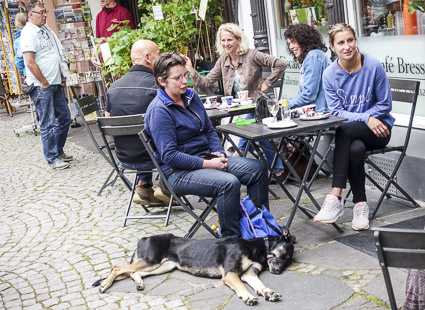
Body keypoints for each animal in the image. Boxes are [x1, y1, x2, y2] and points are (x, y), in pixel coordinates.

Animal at [93, 229, 294, 306]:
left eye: (288, 261)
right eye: (284, 255)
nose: (278, 272)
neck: (257, 248)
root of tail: (144, 238)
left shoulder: (248, 274)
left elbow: (261, 286)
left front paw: (269, 293)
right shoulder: (231, 274)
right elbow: (243, 287)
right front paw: (248, 297)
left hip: (162, 266)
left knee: (132, 272)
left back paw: (138, 283)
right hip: (151, 260)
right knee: (118, 268)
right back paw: (104, 285)